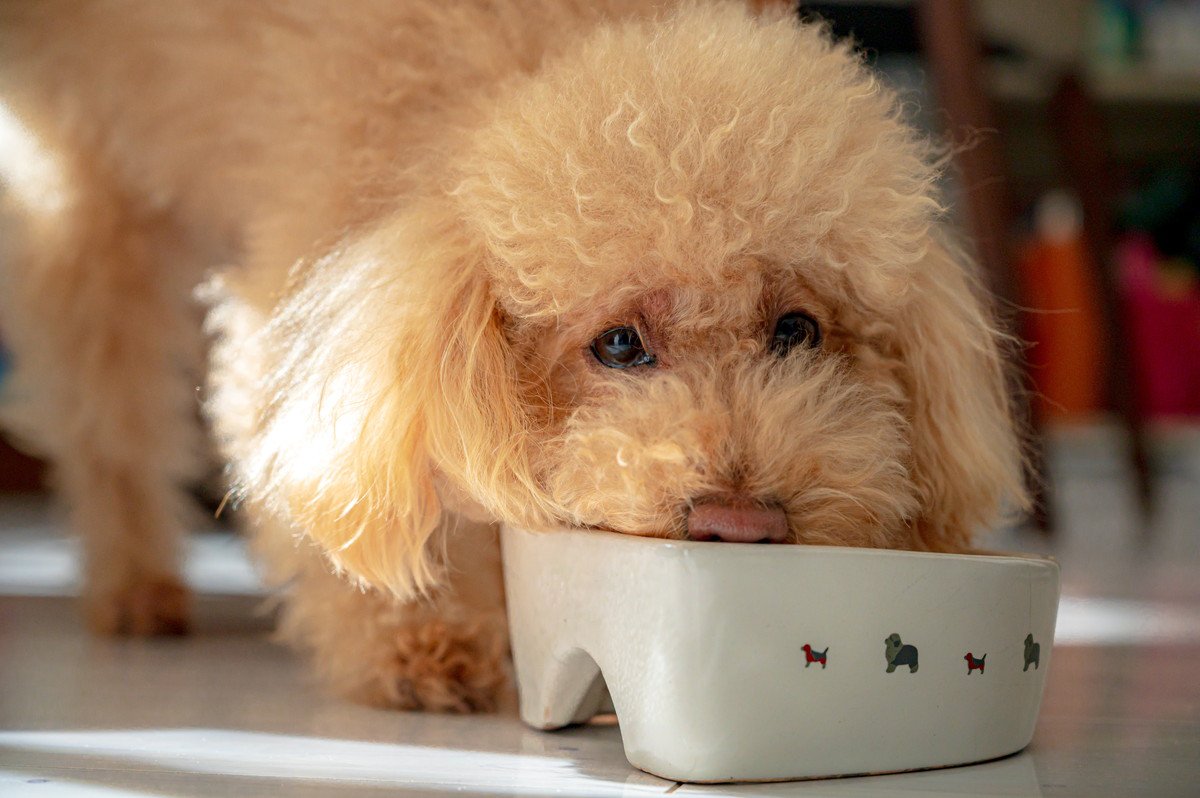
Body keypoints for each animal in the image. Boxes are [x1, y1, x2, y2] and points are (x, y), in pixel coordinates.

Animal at [2, 0, 1022, 710]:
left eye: (798, 330)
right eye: (619, 344)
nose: (740, 522)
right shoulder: (319, 332)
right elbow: (380, 507)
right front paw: (421, 646)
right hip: (88, 192)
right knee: (104, 404)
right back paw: (135, 586)